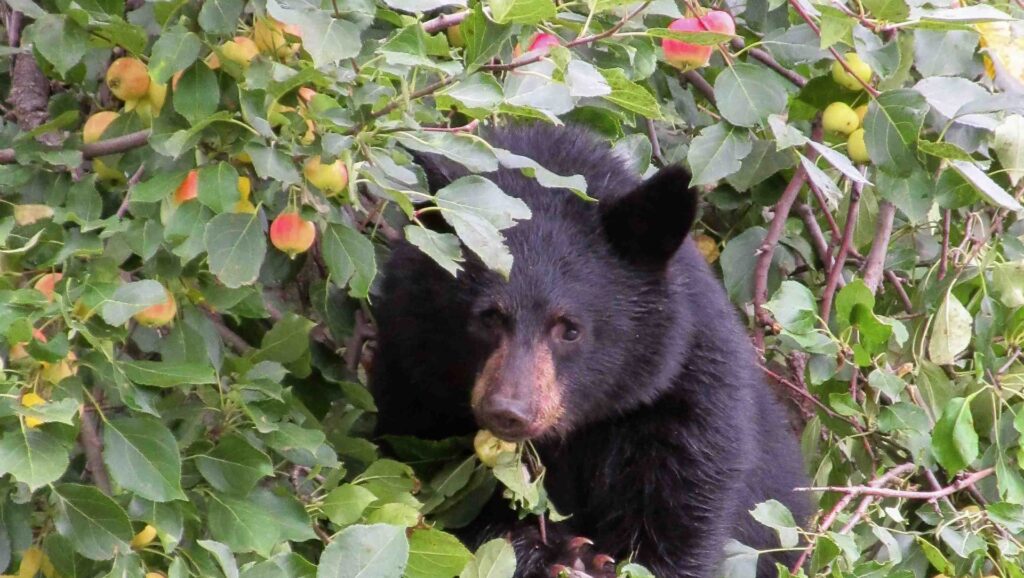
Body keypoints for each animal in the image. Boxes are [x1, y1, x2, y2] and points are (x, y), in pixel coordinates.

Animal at [369, 123, 811, 578]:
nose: (509, 411)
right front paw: (553, 554)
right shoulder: (412, 376)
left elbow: (682, 518)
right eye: (488, 317)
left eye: (570, 329)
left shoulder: (689, 400)